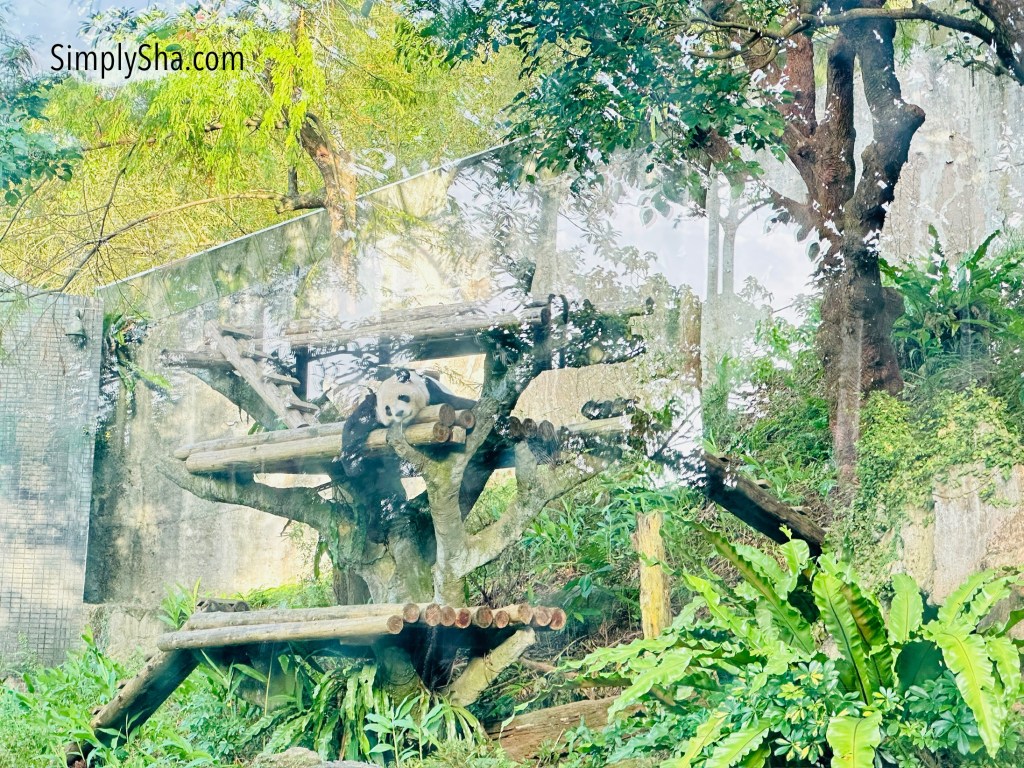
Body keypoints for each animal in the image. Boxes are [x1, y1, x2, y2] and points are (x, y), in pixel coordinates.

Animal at [340, 368, 476, 476]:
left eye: (402, 397)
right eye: (387, 409)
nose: (399, 413)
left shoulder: (431, 391)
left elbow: (459, 403)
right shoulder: (372, 406)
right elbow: (355, 426)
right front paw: (354, 466)